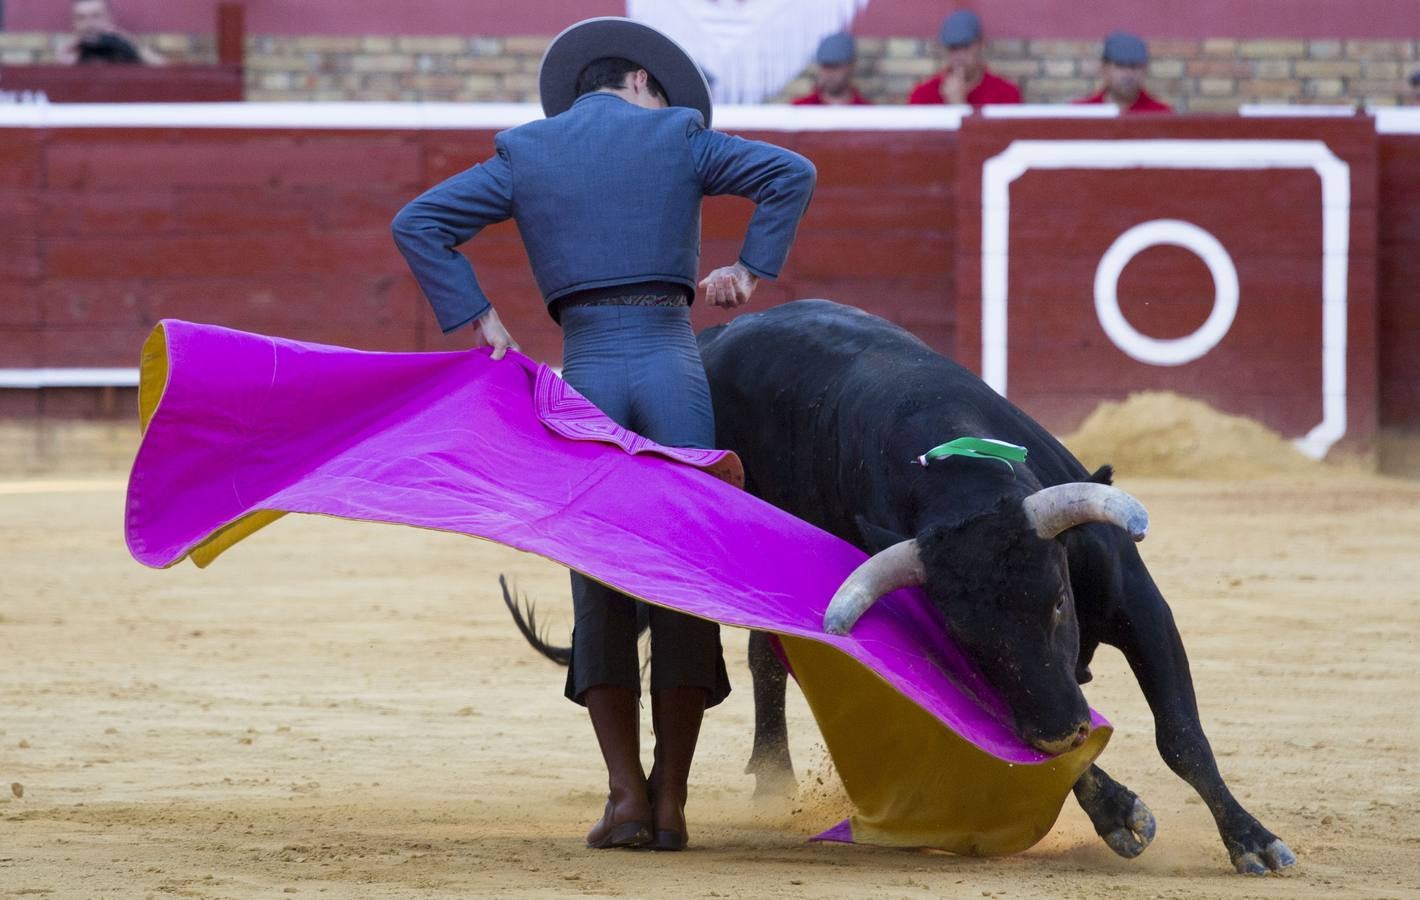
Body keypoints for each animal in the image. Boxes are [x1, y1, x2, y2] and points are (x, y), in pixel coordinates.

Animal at [502, 299, 1300, 868]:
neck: (961, 480)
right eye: (966, 639)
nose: (1062, 725)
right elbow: (1031, 741)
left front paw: (1253, 842)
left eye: (1058, 603)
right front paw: (1120, 814)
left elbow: (1182, 734)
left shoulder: (1138, 601)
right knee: (765, 661)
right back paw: (773, 779)